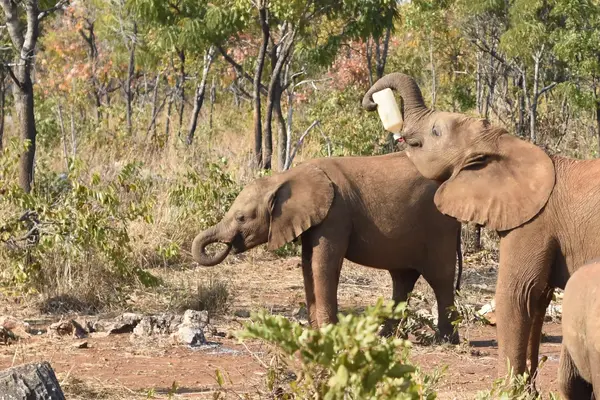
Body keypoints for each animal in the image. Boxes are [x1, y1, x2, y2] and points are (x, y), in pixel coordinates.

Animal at [190, 152, 462, 342]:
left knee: (440, 279)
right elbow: (307, 265)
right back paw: (384, 336)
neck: (285, 177)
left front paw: (329, 332)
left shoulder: (335, 213)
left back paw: (444, 341)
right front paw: (315, 332)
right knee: (402, 280)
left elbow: (324, 264)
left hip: (439, 227)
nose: (227, 245)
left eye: (241, 218)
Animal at [364, 71, 600, 378]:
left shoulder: (535, 222)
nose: (372, 104)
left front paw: (510, 386)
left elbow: (518, 294)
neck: (507, 144)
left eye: (436, 132)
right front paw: (526, 385)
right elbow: (538, 299)